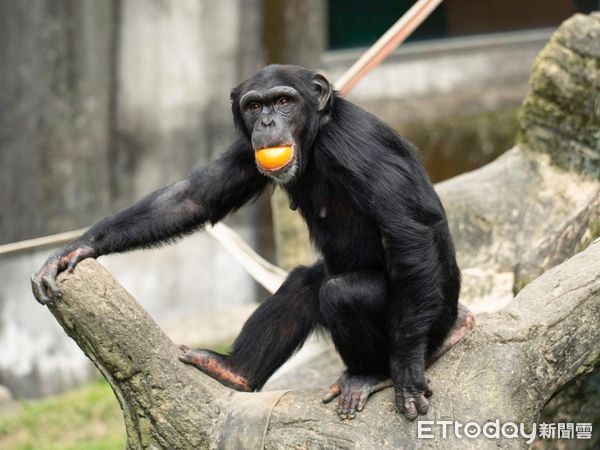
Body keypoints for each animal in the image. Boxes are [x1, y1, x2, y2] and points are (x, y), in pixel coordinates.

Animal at [31, 65, 468, 420]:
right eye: (255, 106)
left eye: (284, 101)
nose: (269, 121)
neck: (317, 135)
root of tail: (458, 319)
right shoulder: (246, 149)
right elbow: (193, 197)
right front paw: (78, 247)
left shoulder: (358, 145)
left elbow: (409, 230)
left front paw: (407, 373)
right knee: (302, 284)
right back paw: (232, 371)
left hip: (434, 320)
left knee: (347, 293)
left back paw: (370, 374)